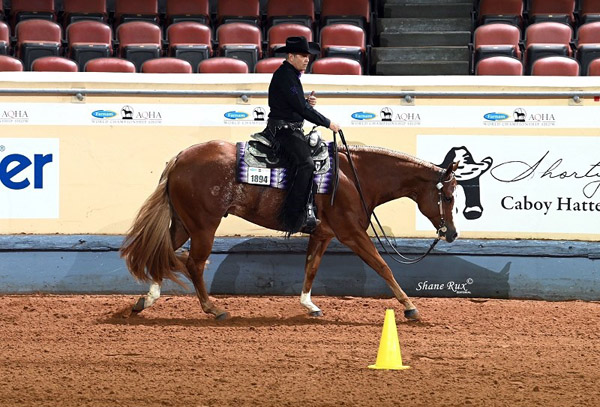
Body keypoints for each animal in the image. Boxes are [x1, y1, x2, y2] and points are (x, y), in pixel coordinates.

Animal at [122, 140, 460, 322]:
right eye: (448, 196)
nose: (452, 234)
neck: (353, 176)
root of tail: (180, 158)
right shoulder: (352, 233)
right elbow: (383, 266)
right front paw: (410, 307)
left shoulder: (323, 234)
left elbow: (311, 267)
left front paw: (309, 305)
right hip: (204, 225)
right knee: (193, 263)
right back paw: (213, 309)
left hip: (184, 223)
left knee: (163, 253)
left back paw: (146, 300)